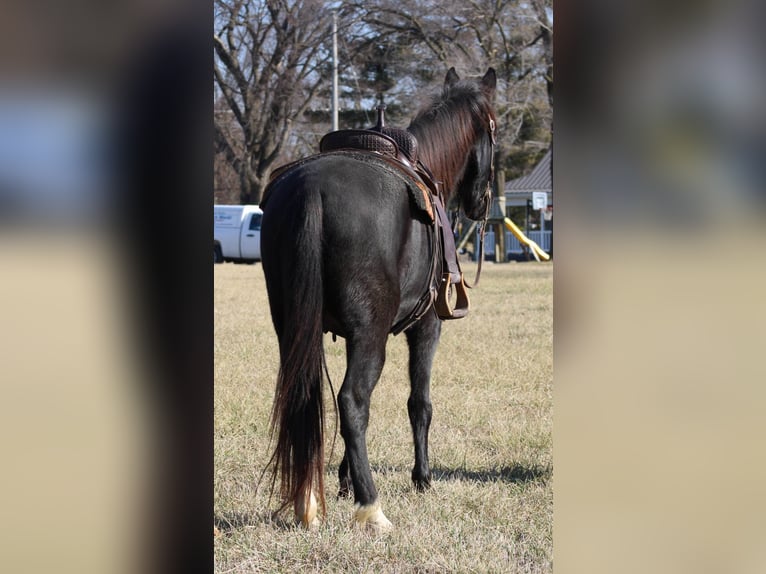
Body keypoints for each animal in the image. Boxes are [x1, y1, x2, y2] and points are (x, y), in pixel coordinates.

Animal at [262, 66, 498, 532]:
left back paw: (307, 502)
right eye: (494, 129)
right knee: (353, 402)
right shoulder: (426, 327)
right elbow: (419, 403)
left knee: (309, 398)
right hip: (371, 336)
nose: (481, 205)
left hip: (294, 328)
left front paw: (343, 480)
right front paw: (422, 477)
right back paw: (371, 507)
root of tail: (311, 189)